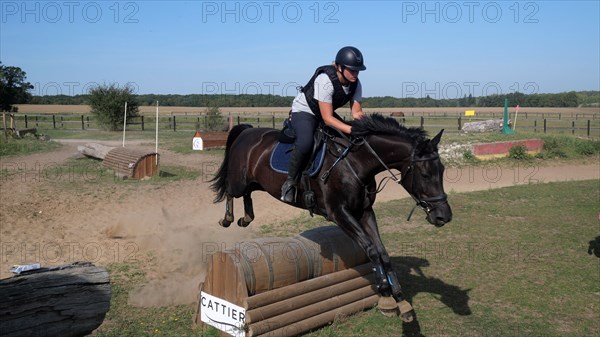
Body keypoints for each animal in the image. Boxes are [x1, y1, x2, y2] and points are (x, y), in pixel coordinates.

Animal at [210, 113, 450, 320]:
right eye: (425, 174)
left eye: (442, 170)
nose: (444, 217)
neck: (357, 163)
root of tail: (247, 131)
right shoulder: (339, 213)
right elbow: (371, 250)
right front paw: (385, 295)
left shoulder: (364, 212)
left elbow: (382, 251)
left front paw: (400, 299)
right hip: (240, 179)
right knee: (231, 190)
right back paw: (228, 219)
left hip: (255, 182)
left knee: (247, 194)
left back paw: (246, 218)